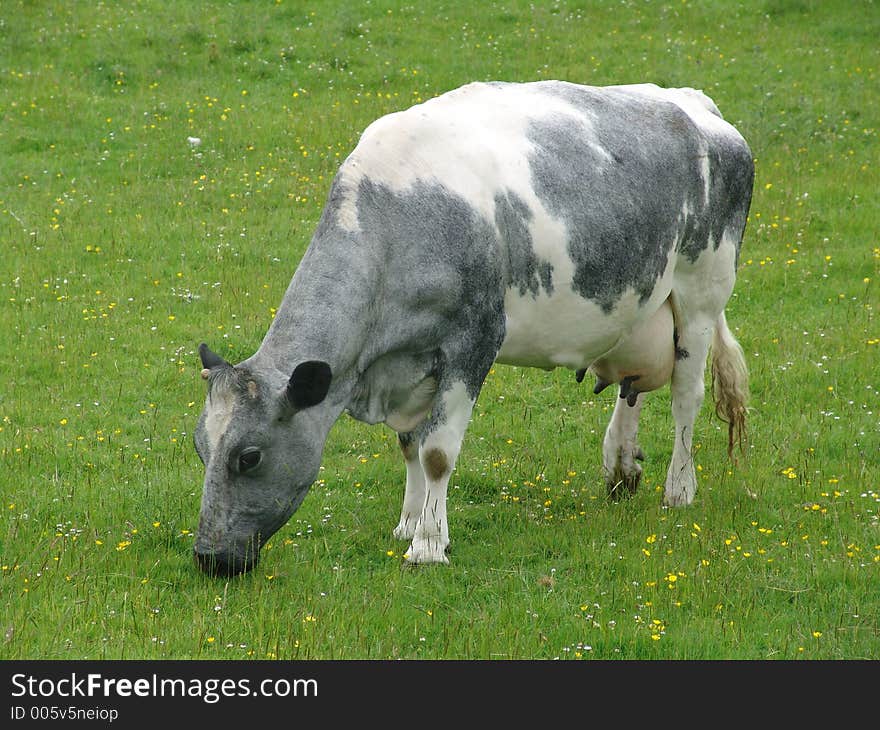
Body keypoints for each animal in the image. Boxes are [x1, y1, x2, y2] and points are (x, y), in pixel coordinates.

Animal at [196, 79, 752, 576]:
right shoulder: (410, 363)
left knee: (686, 396)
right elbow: (409, 443)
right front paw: (408, 522)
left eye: (249, 456)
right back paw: (621, 464)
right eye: (201, 448)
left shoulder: (473, 342)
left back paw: (678, 489)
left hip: (702, 294)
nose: (207, 557)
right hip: (637, 304)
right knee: (631, 386)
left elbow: (437, 452)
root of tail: (692, 102)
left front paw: (427, 544)